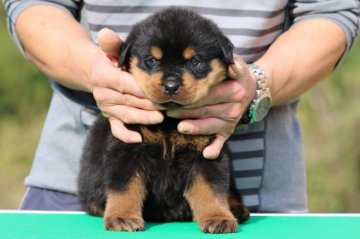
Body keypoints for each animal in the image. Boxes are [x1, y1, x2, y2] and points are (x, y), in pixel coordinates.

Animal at [77, 7, 249, 233]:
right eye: (151, 60)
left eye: (195, 61)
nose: (171, 86)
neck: (168, 123)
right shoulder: (126, 146)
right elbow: (124, 187)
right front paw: (122, 217)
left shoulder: (207, 150)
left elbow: (210, 188)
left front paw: (217, 218)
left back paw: (237, 209)